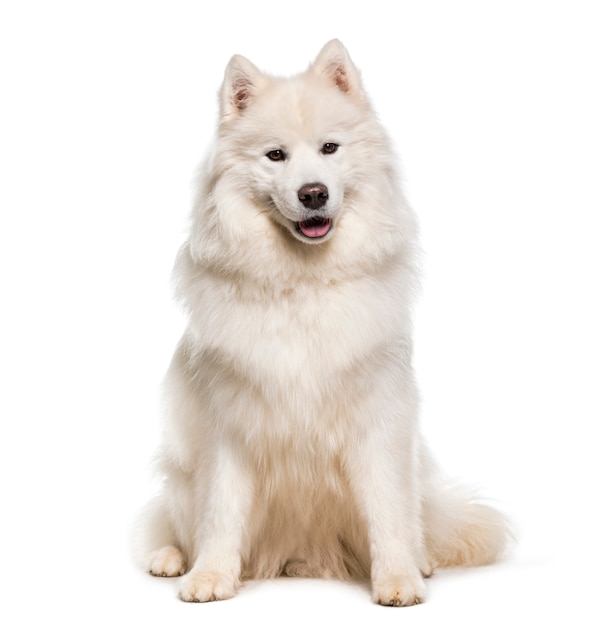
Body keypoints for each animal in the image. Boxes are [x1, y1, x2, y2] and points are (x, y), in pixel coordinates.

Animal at [140, 40, 512, 604]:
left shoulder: (378, 418)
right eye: (276, 155)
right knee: (175, 522)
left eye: (330, 148)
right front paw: (210, 576)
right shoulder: (230, 424)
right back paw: (170, 559)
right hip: (180, 474)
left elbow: (388, 511)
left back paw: (422, 562)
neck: (303, 283)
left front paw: (398, 579)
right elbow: (221, 511)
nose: (313, 193)